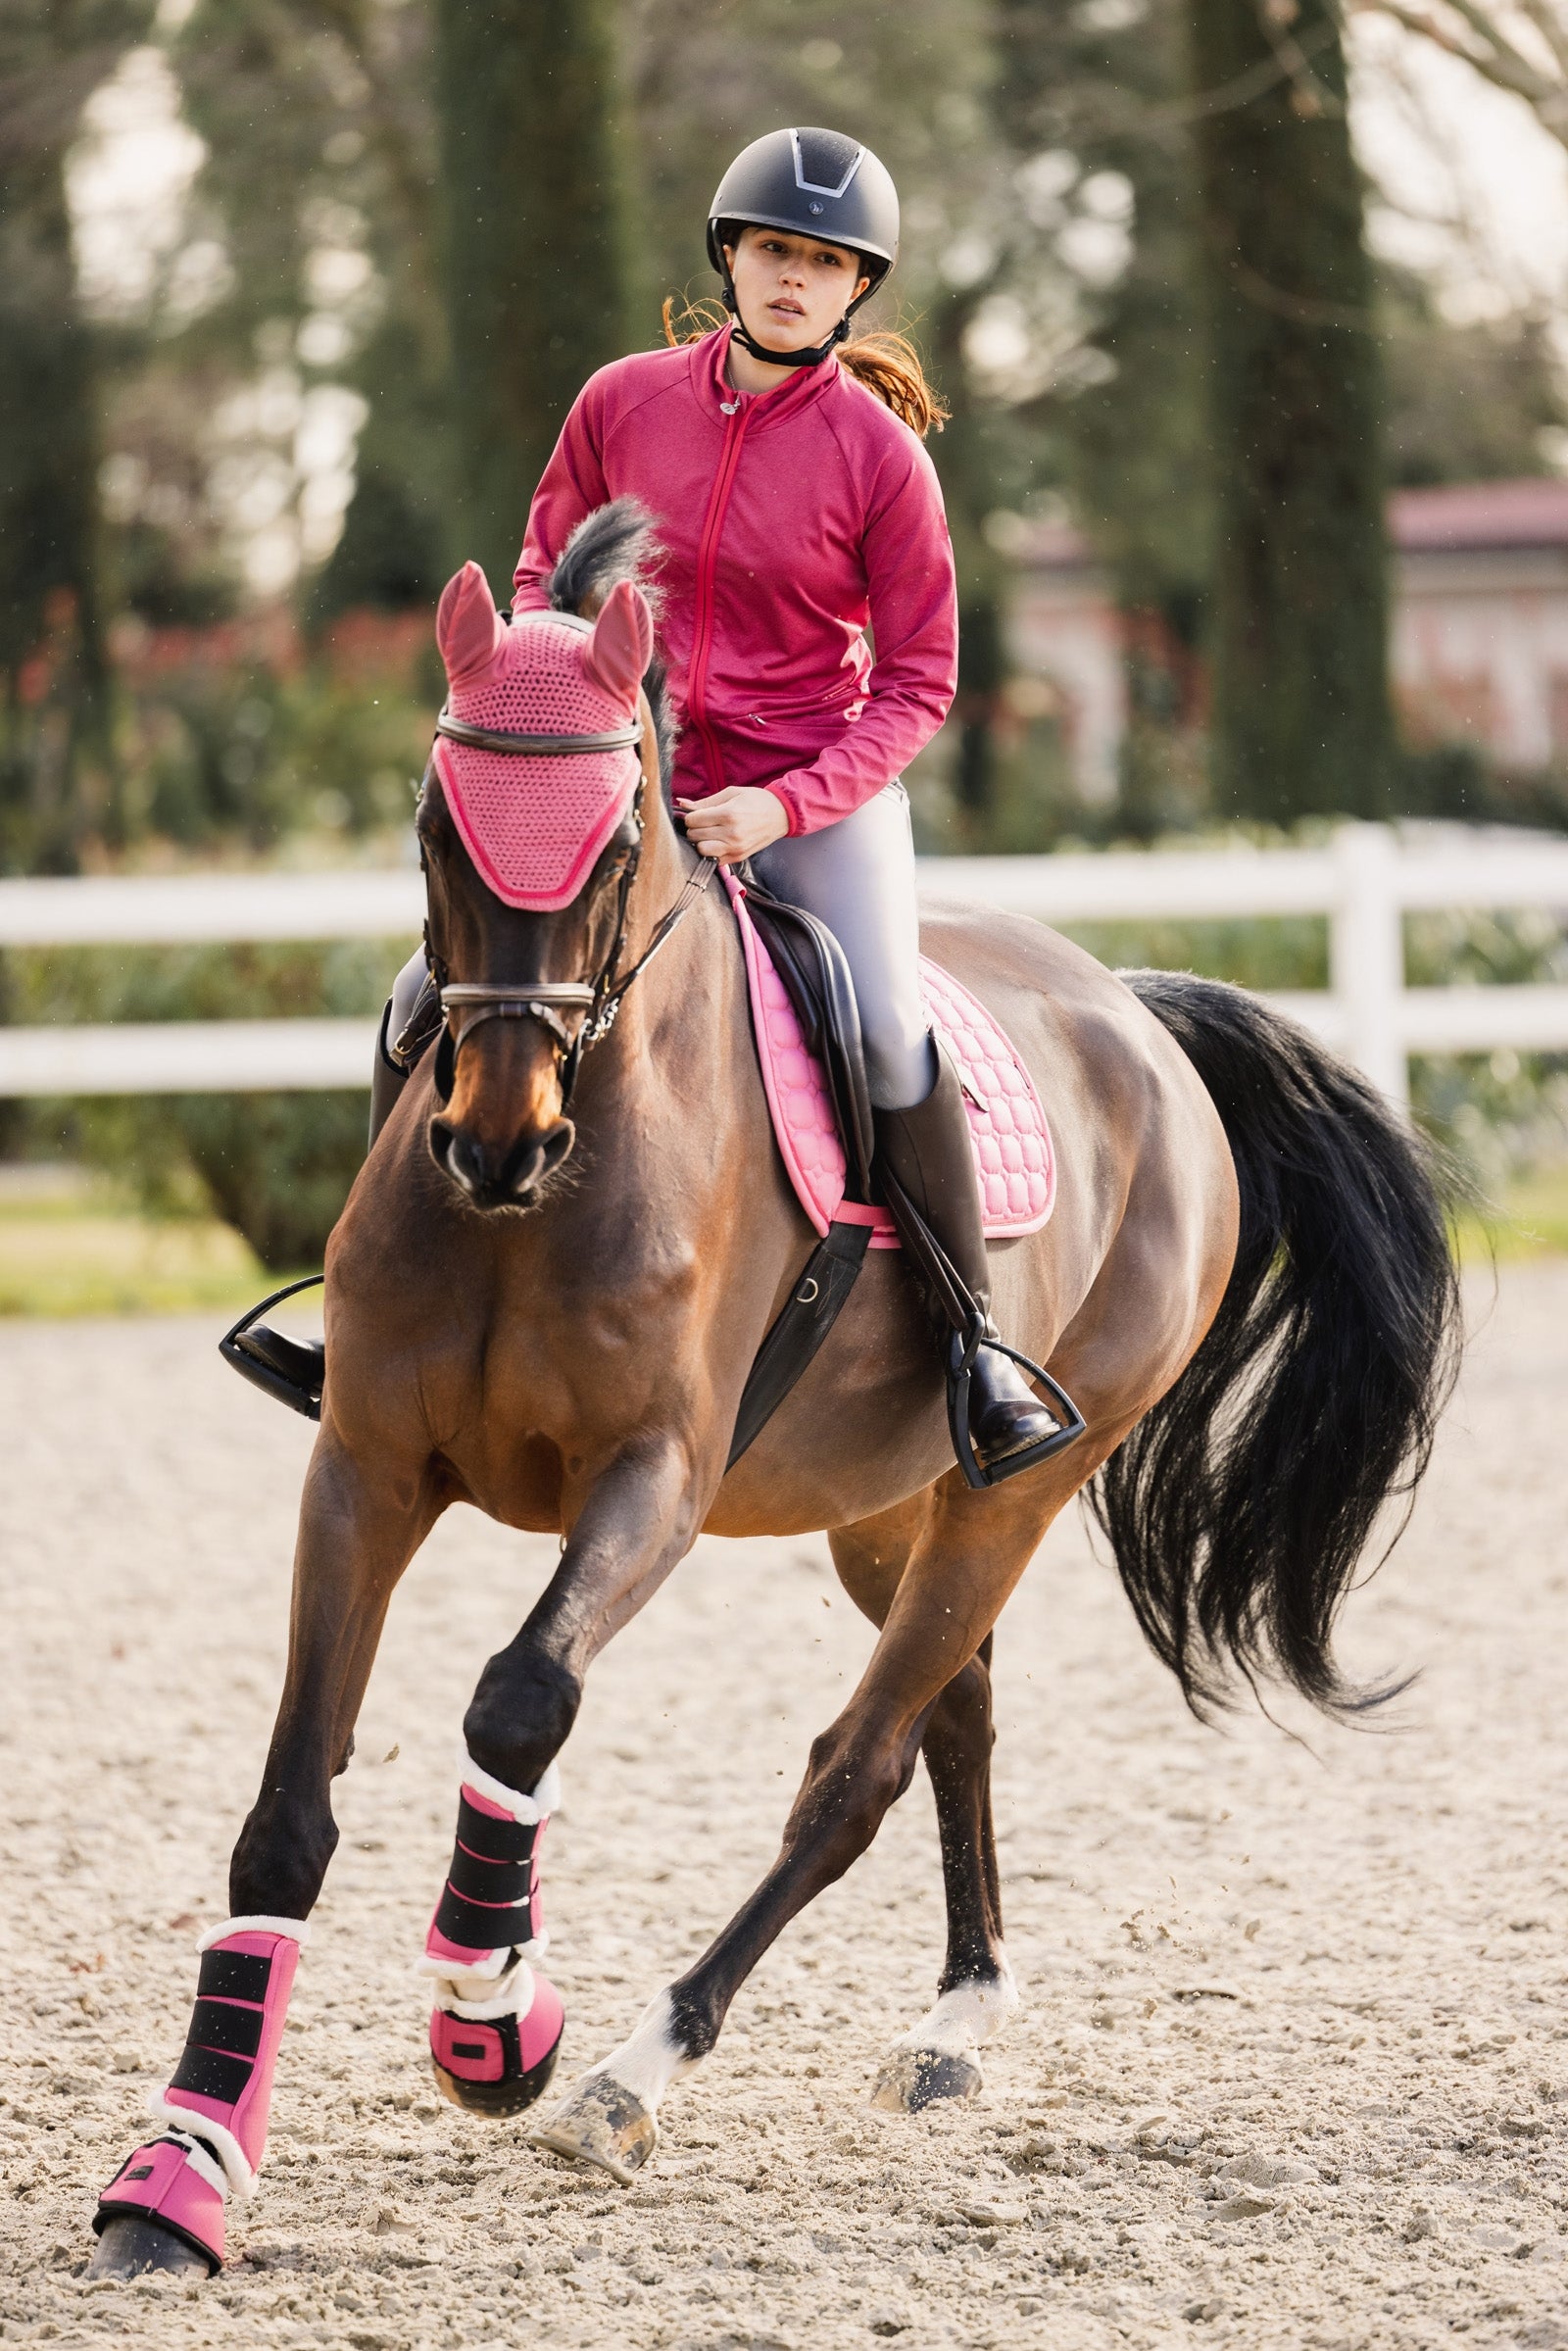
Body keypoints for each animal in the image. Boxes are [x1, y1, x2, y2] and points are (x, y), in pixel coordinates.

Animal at [89, 502, 1460, 2275]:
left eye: (614, 844)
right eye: (436, 828)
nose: (495, 1140)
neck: (553, 1181)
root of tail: (1136, 1015)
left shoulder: (653, 1481)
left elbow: (517, 1696)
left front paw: (492, 2015)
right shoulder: (366, 1469)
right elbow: (284, 1810)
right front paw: (180, 2169)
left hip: (1015, 1486)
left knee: (856, 1769)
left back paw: (634, 2067)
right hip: (887, 1503)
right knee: (957, 1712)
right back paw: (954, 2022)